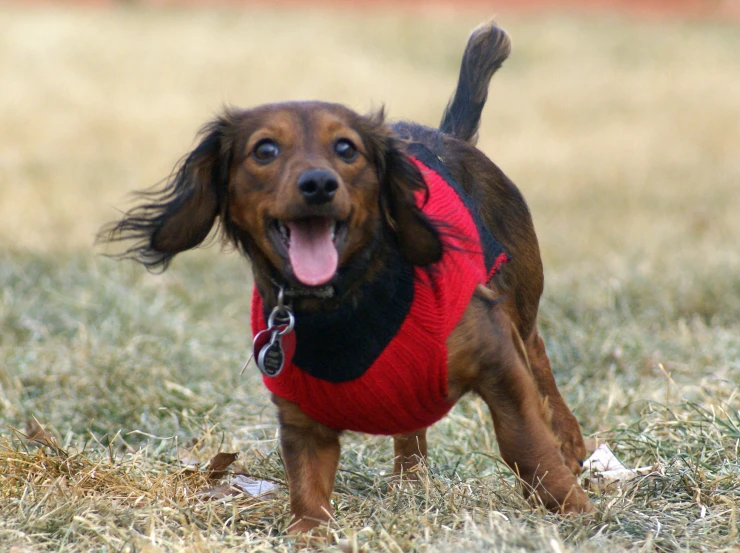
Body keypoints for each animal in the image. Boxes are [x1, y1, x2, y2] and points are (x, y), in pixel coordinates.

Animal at [101, 22, 592, 536]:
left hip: (518, 303)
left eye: (345, 148)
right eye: (265, 150)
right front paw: (309, 535)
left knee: (538, 354)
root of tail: (448, 137)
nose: (319, 184)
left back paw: (569, 442)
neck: (345, 302)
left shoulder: (497, 359)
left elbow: (525, 444)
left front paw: (572, 509)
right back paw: (410, 481)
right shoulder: (301, 418)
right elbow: (307, 485)